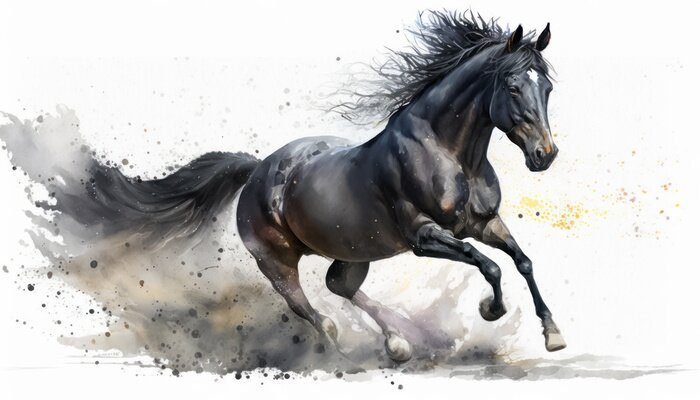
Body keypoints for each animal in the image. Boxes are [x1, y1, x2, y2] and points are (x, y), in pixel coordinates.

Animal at [15, 12, 565, 363]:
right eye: (513, 86)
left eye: (547, 86)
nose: (545, 155)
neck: (448, 152)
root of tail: (259, 170)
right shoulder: (425, 237)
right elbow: (490, 265)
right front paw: (492, 310)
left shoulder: (485, 222)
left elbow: (521, 261)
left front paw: (554, 334)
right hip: (276, 259)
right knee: (306, 306)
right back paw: (345, 349)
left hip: (356, 249)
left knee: (340, 286)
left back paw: (398, 344)